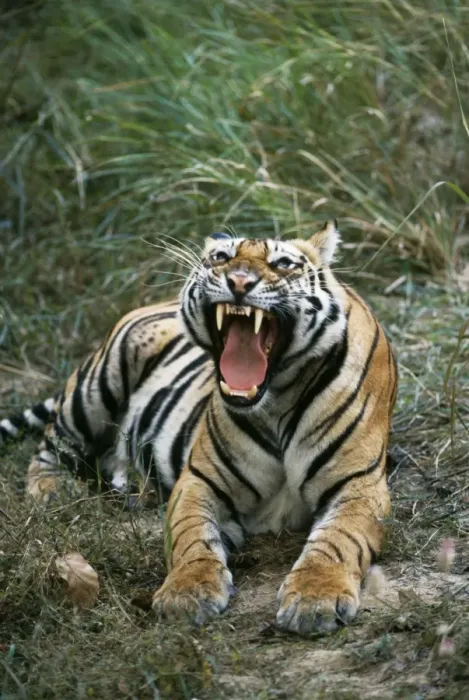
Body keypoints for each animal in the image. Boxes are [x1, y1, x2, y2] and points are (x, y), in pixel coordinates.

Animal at [0, 221, 398, 635]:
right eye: (221, 257)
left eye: (283, 263)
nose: (239, 281)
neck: (277, 399)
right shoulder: (200, 480)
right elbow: (192, 537)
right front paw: (187, 594)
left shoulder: (358, 485)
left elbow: (337, 540)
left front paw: (315, 599)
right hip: (98, 383)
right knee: (51, 444)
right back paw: (53, 490)